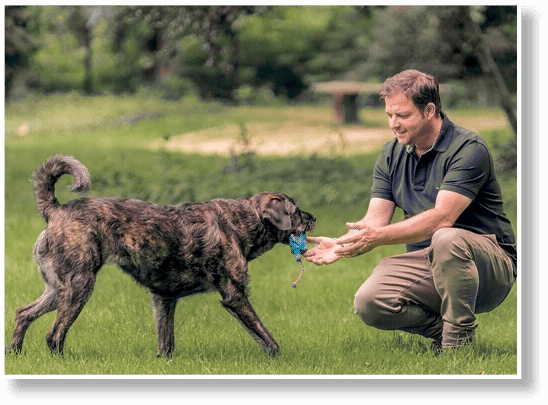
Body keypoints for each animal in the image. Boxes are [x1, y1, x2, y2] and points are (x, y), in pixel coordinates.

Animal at [7, 155, 316, 356]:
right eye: (296, 210)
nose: (314, 218)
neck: (242, 221)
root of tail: (56, 210)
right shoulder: (235, 297)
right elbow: (265, 336)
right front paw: (279, 358)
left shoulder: (164, 298)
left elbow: (166, 343)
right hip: (78, 287)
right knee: (54, 334)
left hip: (58, 289)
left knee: (23, 313)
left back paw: (15, 351)